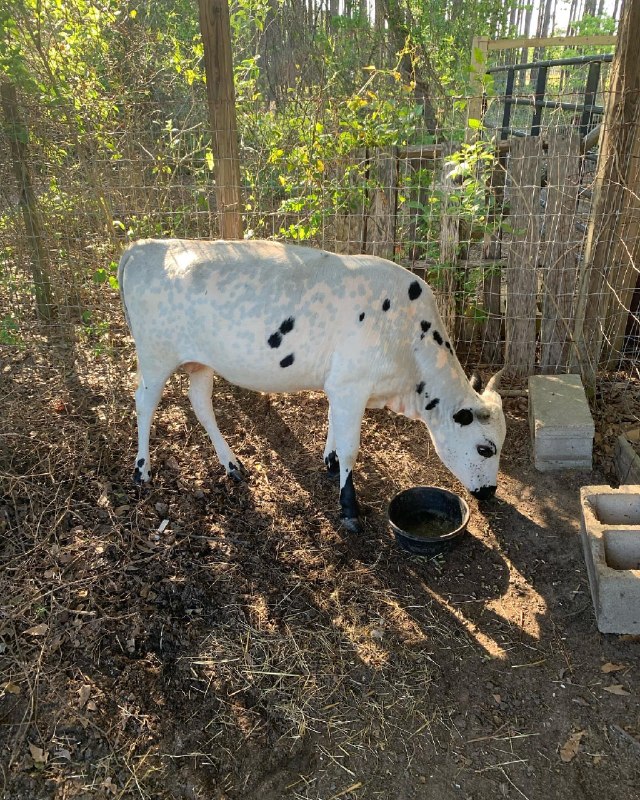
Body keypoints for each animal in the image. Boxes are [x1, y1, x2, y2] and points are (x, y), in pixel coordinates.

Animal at [118, 239, 506, 532]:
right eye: (485, 448)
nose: (489, 492)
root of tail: (144, 246)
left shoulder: (340, 385)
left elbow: (333, 425)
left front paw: (330, 462)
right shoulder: (351, 385)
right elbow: (351, 447)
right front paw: (349, 508)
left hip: (200, 361)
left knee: (200, 403)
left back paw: (231, 464)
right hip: (155, 355)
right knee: (144, 402)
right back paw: (141, 469)